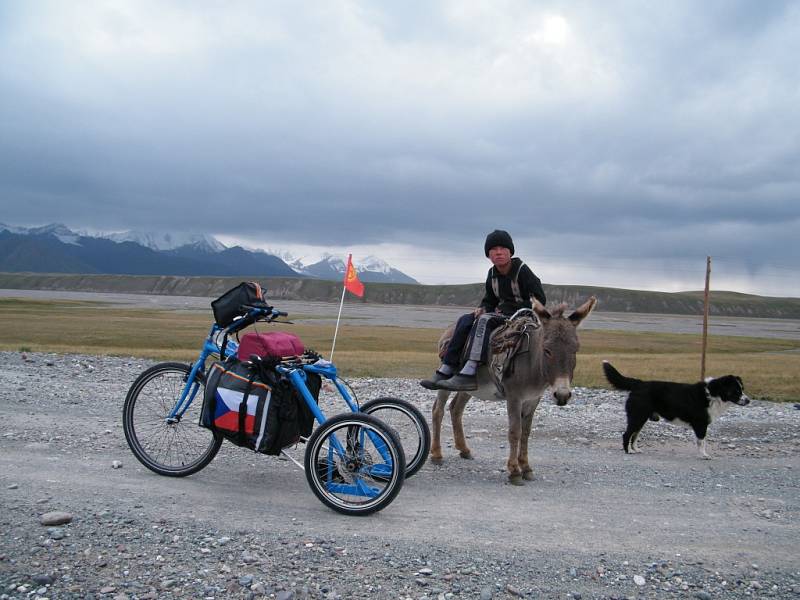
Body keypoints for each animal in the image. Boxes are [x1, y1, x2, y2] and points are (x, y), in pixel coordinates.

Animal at [608, 360, 752, 460]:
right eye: (736, 391)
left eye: (742, 389)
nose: (748, 400)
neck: (713, 393)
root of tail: (639, 383)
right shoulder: (700, 424)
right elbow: (702, 442)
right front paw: (704, 455)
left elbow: (702, 441)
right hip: (637, 417)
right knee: (627, 434)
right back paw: (628, 451)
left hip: (641, 418)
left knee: (634, 435)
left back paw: (636, 449)